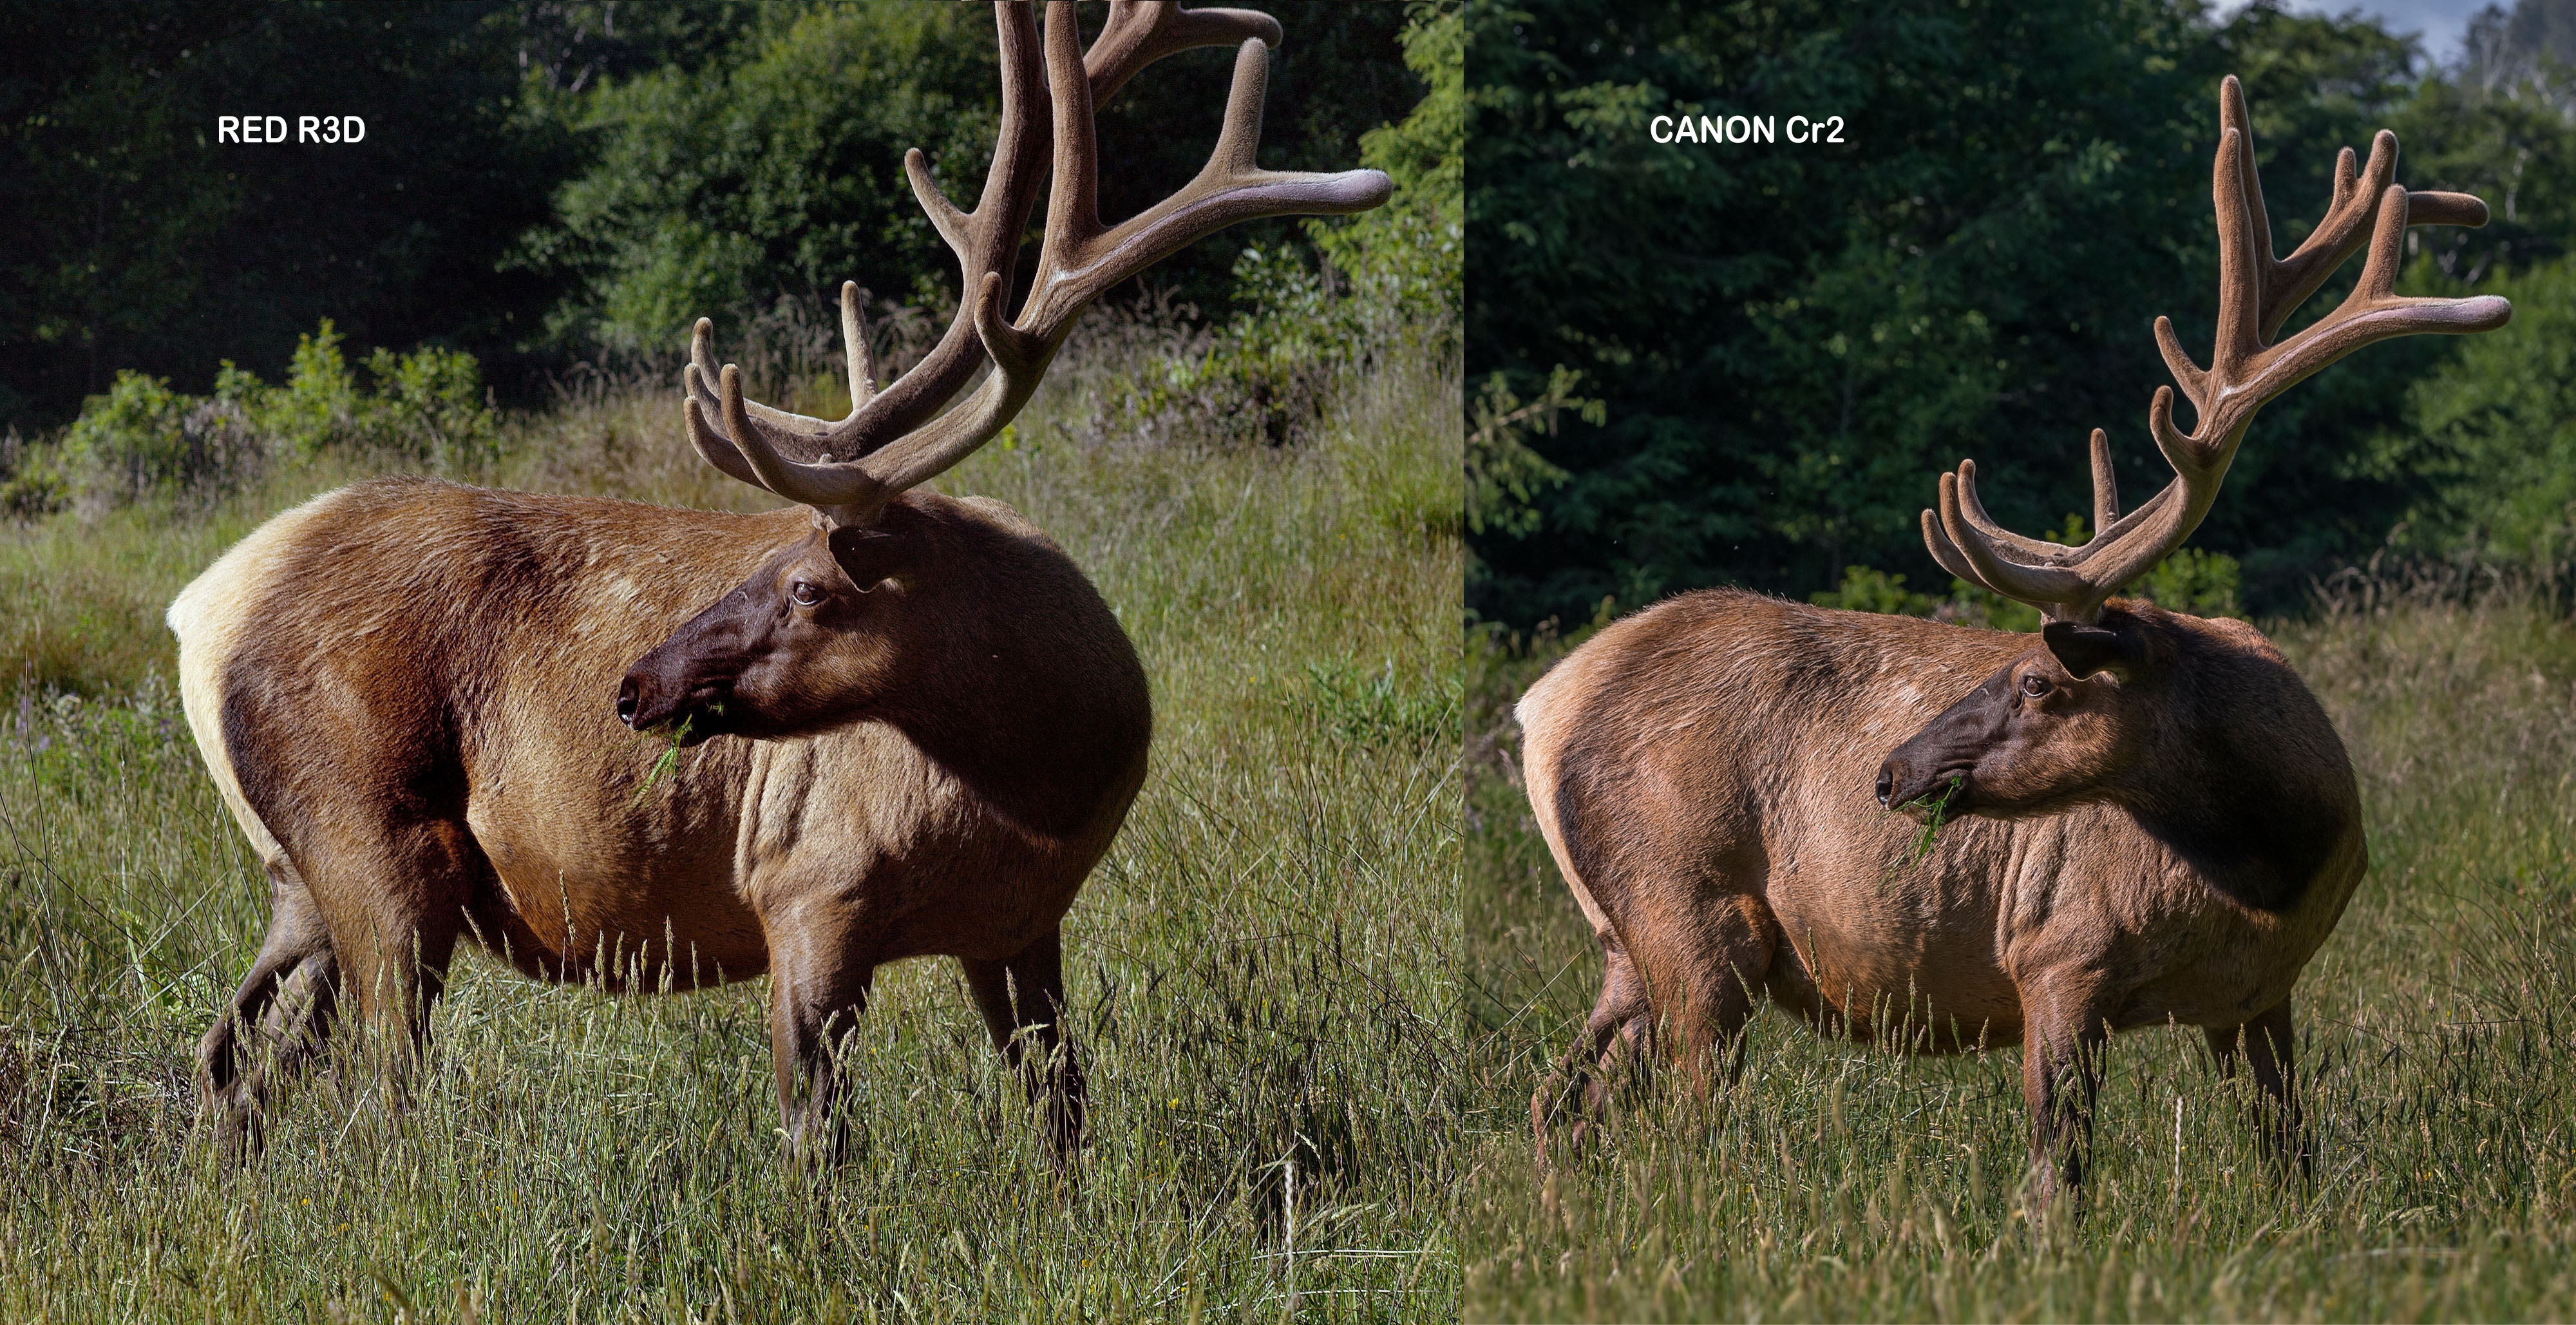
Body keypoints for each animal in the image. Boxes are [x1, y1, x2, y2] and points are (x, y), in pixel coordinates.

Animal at [167, 0, 1389, 1167]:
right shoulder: (810, 888)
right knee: (378, 1091)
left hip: (299, 878)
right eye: (773, 560)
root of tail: (204, 606)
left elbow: (1062, 1114)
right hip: (373, 840)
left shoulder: (1019, 926)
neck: (1045, 787)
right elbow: (819, 1137)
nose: (634, 686)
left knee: (232, 1061)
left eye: (804, 583)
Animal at [1517, 77, 2510, 1211]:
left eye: (2036, 679)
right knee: (1681, 1123)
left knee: (1560, 1102)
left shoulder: (2261, 997)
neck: (2269, 862)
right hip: (1691, 918)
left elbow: (2290, 1162)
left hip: (1627, 947)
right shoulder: (2058, 956)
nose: (1890, 773)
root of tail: (1544, 707)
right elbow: (2054, 1175)